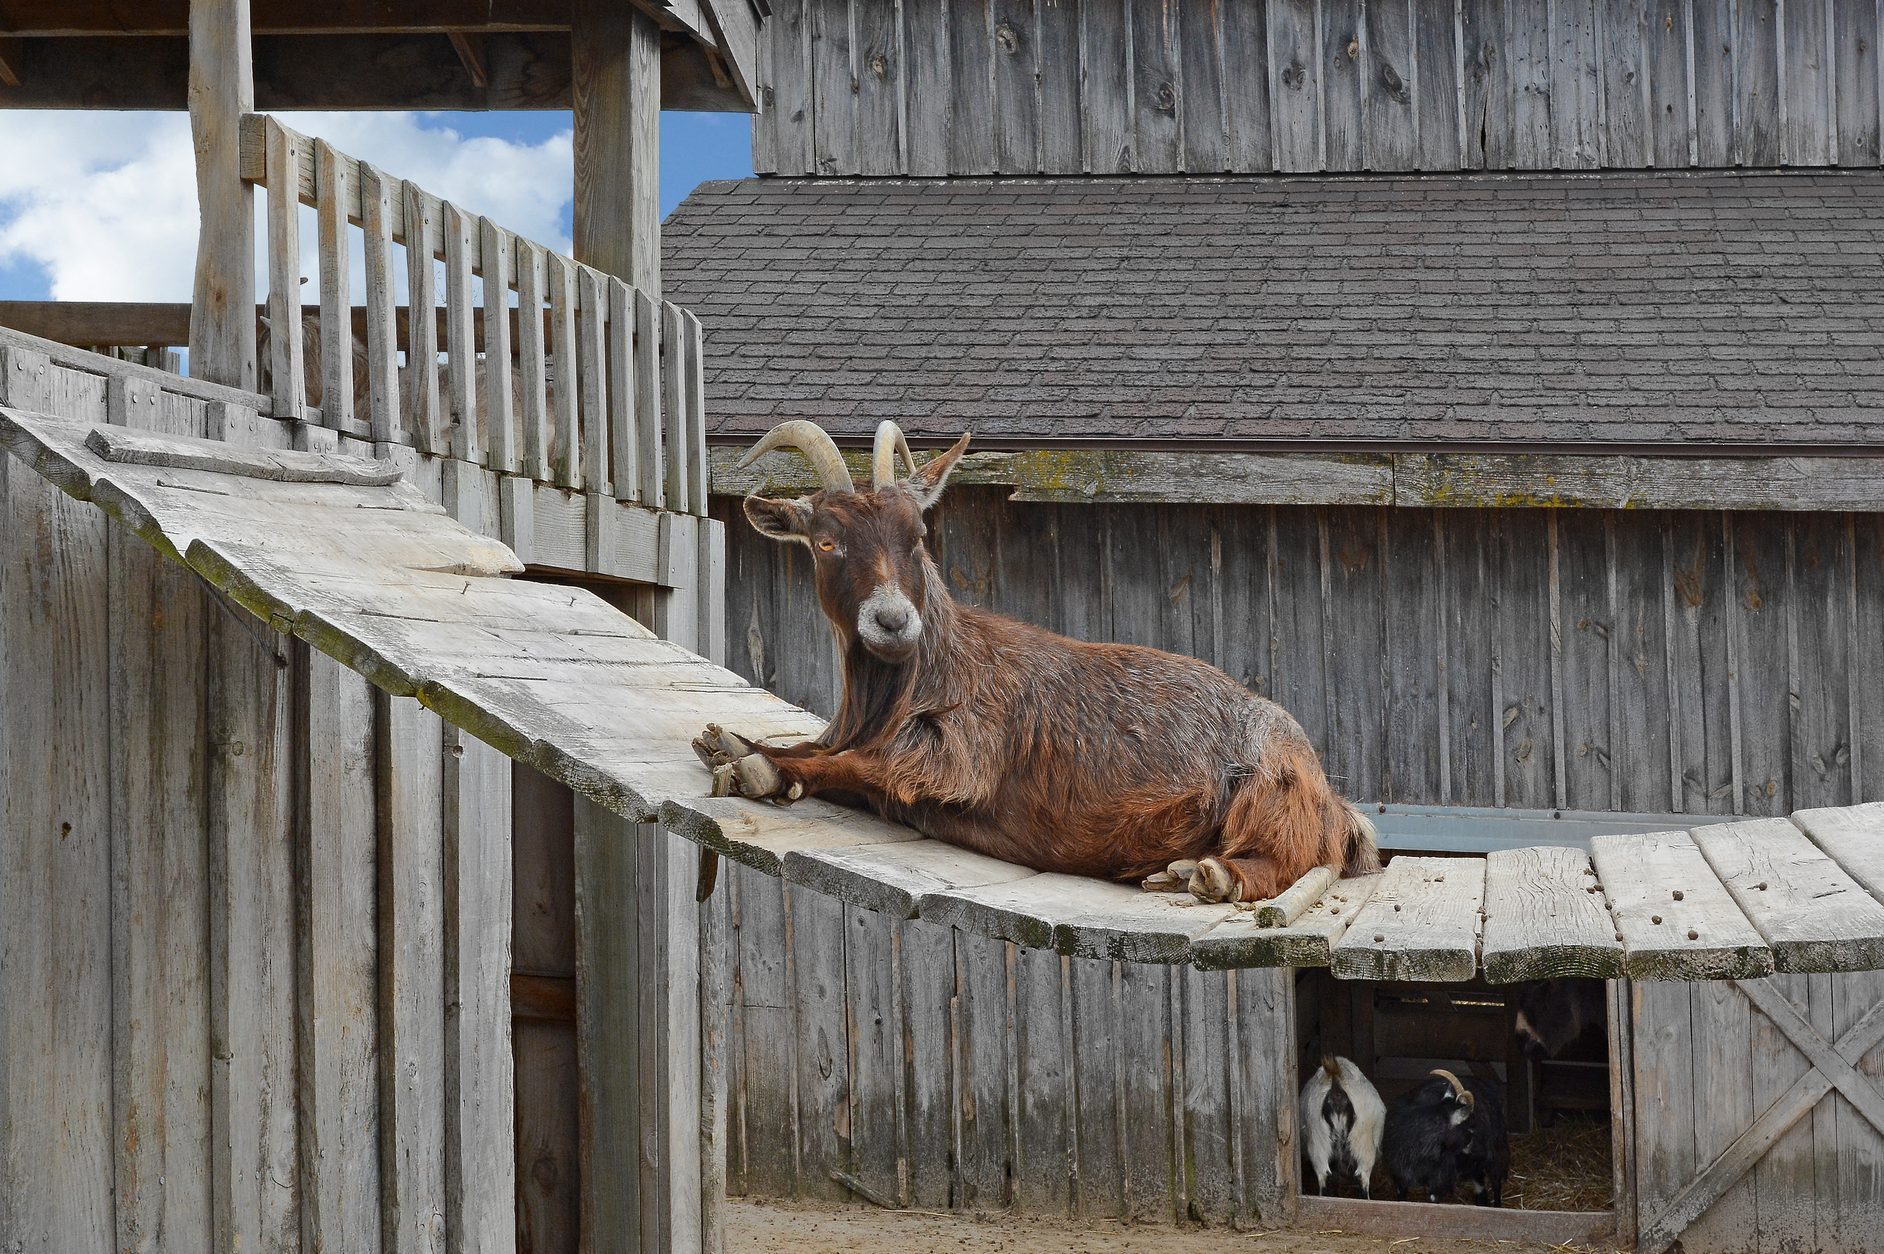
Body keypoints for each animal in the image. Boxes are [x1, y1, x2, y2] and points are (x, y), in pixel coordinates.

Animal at [693, 420, 1380, 903]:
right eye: (826, 543)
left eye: (918, 535)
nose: (892, 621)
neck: (925, 674)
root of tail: (1336, 805)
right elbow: (826, 749)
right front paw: (735, 740)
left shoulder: (960, 755)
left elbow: (862, 763)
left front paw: (760, 766)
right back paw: (1177, 868)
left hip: (1272, 790)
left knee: (1283, 858)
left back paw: (1212, 874)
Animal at [1381, 1069, 1509, 1206]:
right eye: (1469, 1128)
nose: (1479, 1151)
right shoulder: (1398, 1175)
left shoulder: (1439, 1177)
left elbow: (1433, 1198)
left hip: (1496, 1153)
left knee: (1496, 1181)